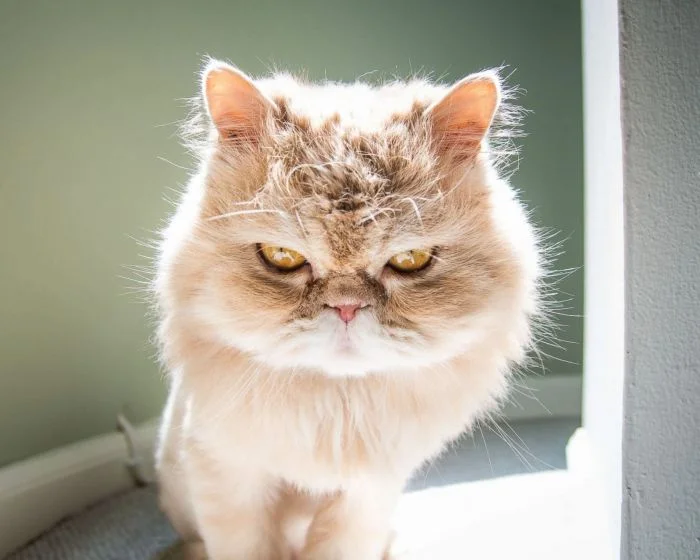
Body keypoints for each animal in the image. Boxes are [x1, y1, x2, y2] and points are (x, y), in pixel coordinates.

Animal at [154, 58, 541, 560]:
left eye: (410, 260)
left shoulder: (368, 494)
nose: (345, 307)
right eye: (282, 256)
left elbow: (341, 545)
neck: (336, 411)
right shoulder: (228, 476)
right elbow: (247, 546)